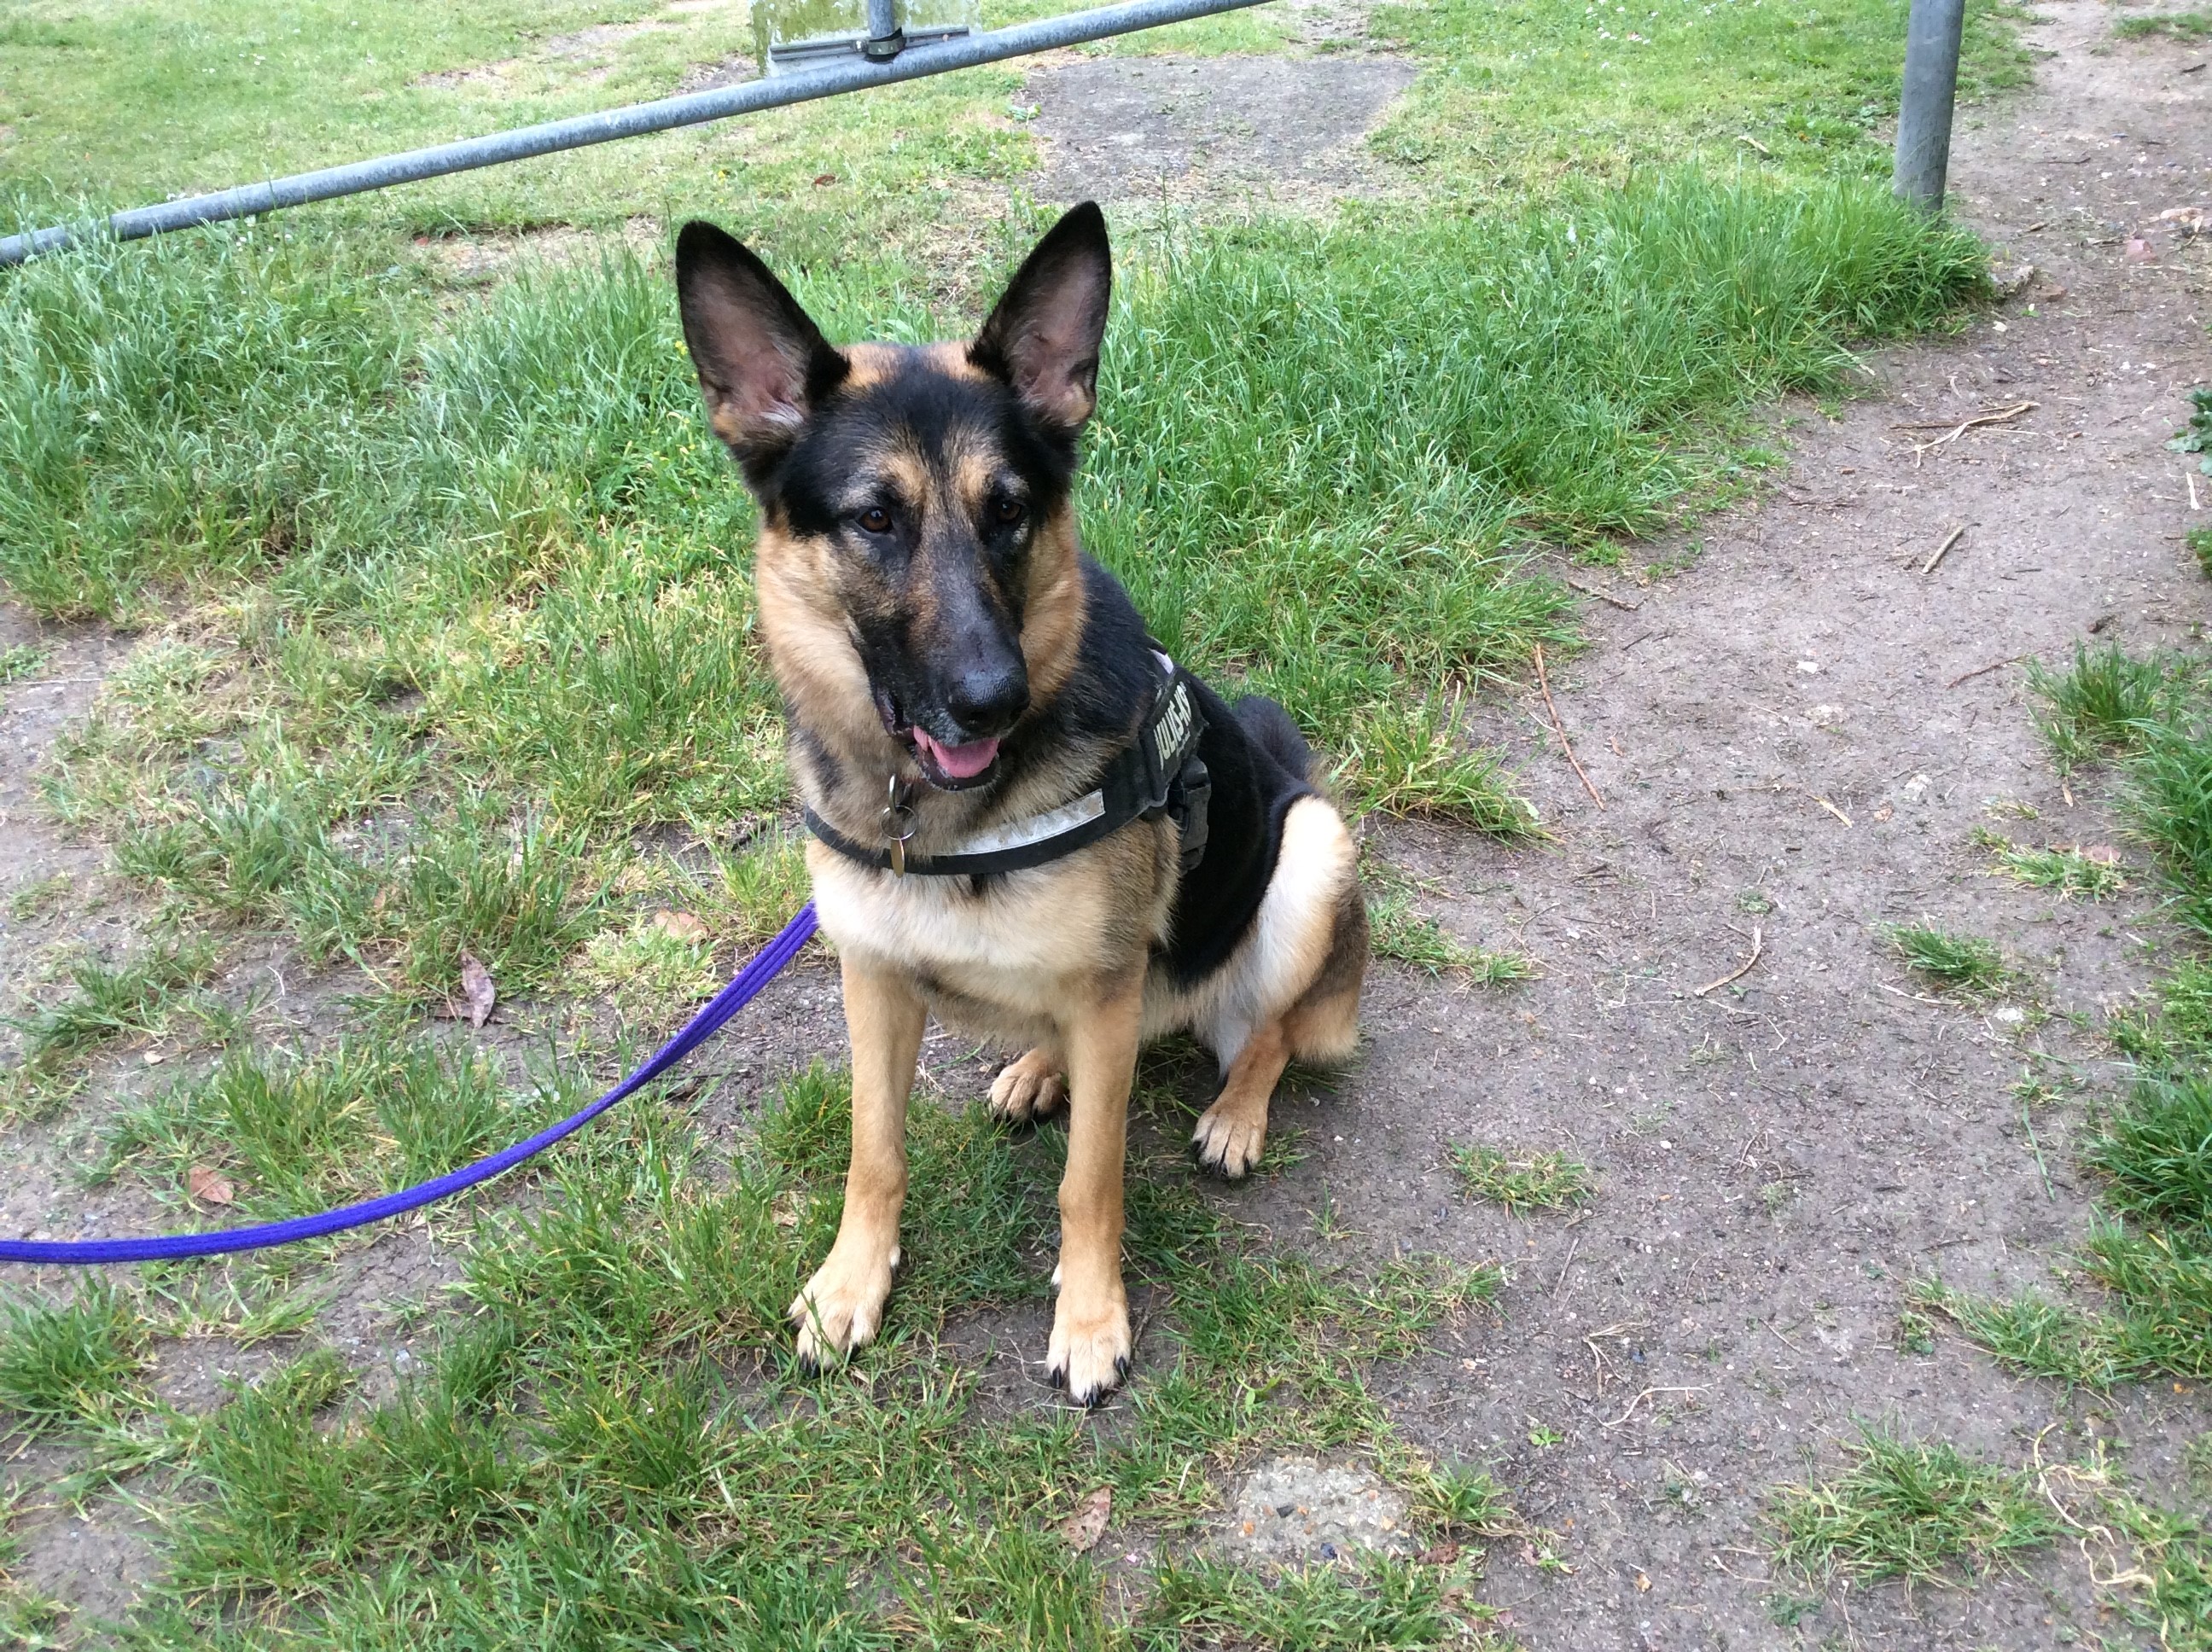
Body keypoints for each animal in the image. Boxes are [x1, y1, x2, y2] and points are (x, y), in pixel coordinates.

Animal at [672, 200, 1362, 1406]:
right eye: (873, 520)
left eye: (1011, 512)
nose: (991, 698)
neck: (934, 823)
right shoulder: (873, 978)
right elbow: (873, 1152)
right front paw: (851, 1282)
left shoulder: (1101, 1000)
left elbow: (1092, 1178)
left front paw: (1090, 1320)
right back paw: (1041, 1067)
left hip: (1310, 850)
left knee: (1273, 1029)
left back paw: (1233, 1111)